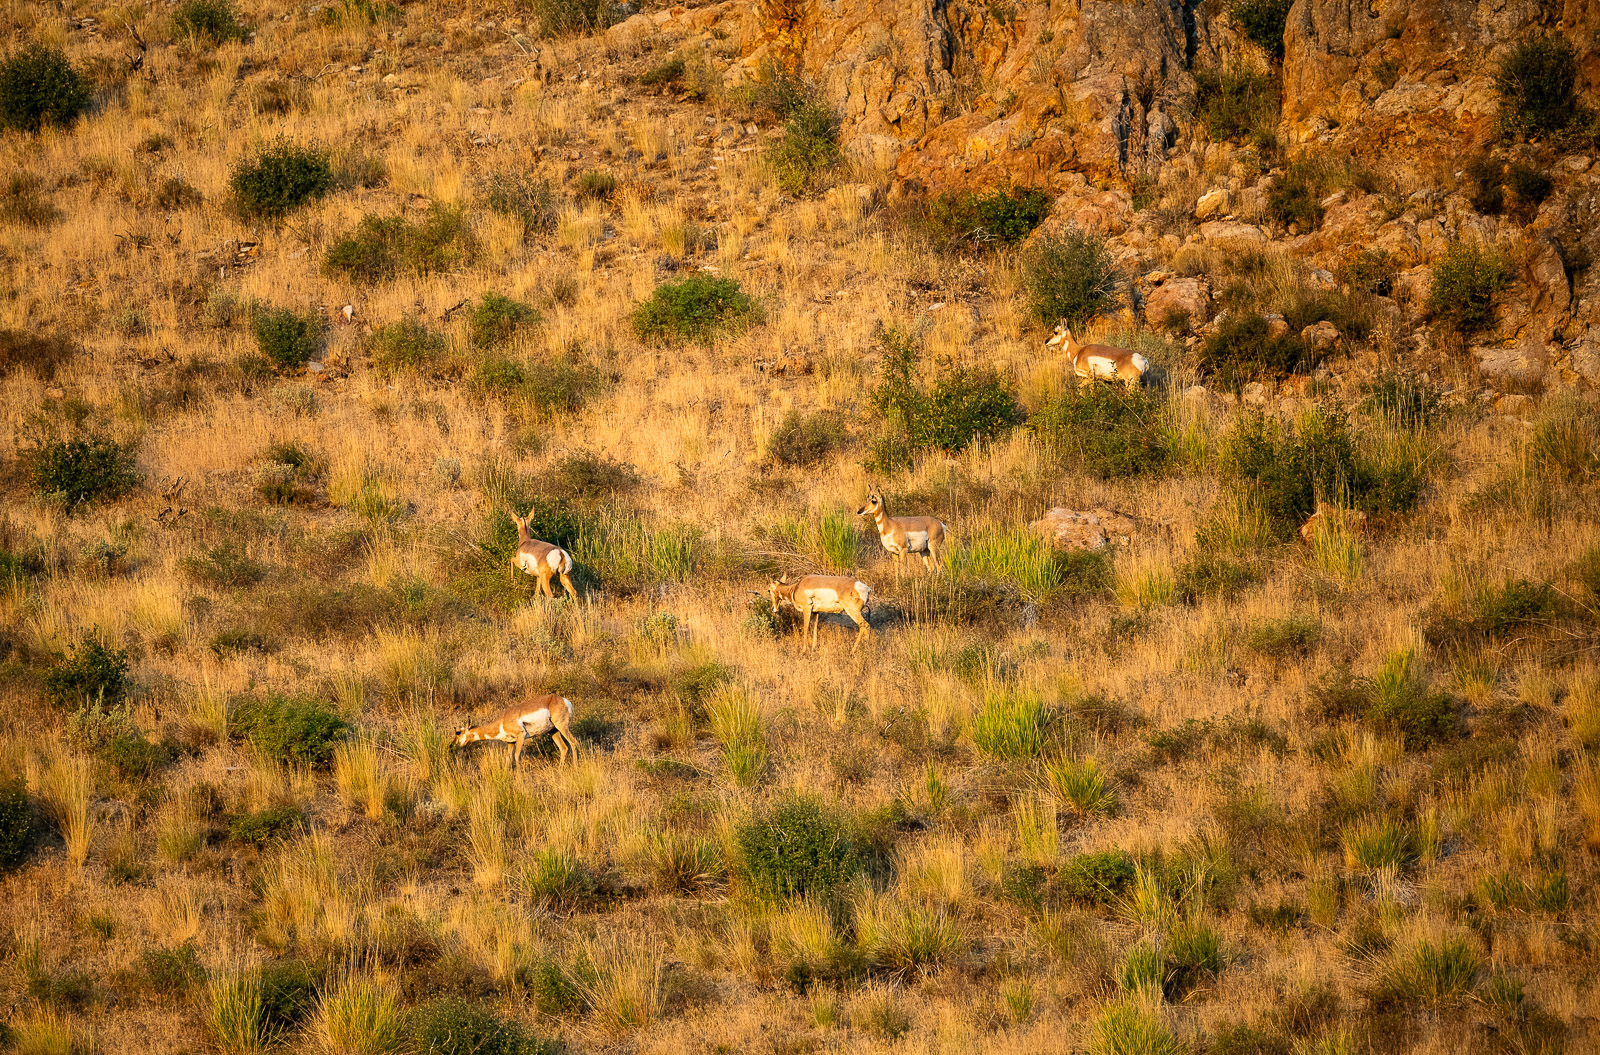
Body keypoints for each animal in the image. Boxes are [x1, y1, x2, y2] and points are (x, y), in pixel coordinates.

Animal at [452, 694, 581, 770]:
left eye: (459, 734)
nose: (452, 747)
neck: (502, 720)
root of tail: (564, 700)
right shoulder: (510, 742)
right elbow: (508, 758)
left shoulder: (521, 736)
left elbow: (516, 756)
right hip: (553, 731)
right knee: (564, 748)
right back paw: (560, 769)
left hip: (562, 727)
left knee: (573, 743)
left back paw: (575, 767)